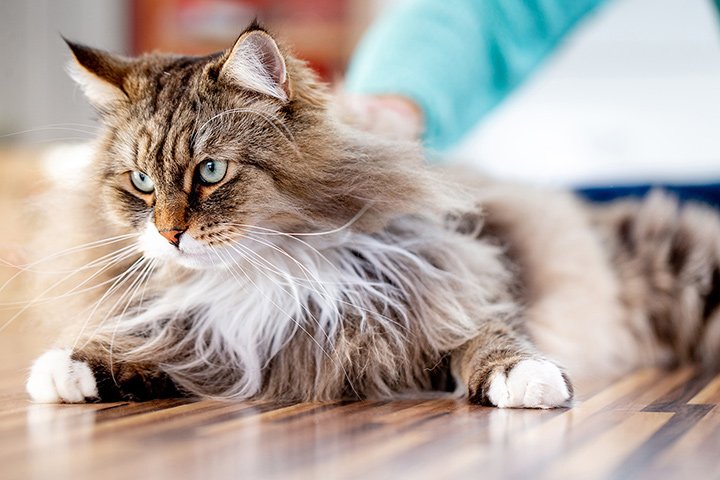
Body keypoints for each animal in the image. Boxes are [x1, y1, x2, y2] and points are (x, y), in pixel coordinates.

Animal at [25, 21, 720, 404]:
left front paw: (530, 380)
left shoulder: (453, 294)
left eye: (212, 171)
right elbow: (148, 349)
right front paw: (67, 369)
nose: (169, 235)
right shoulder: (217, 343)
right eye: (141, 183)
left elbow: (492, 342)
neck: (266, 278)